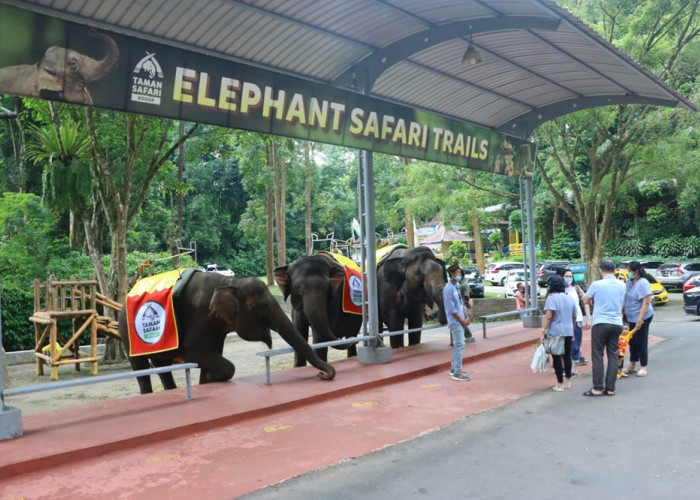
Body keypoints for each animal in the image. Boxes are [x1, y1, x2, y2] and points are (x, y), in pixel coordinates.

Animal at [118, 270, 336, 394]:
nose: (322, 375)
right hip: (127, 333)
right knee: (140, 367)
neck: (229, 281)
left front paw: (207, 380)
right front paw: (211, 379)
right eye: (258, 307)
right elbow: (197, 355)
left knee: (160, 364)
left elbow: (212, 354)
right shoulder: (199, 318)